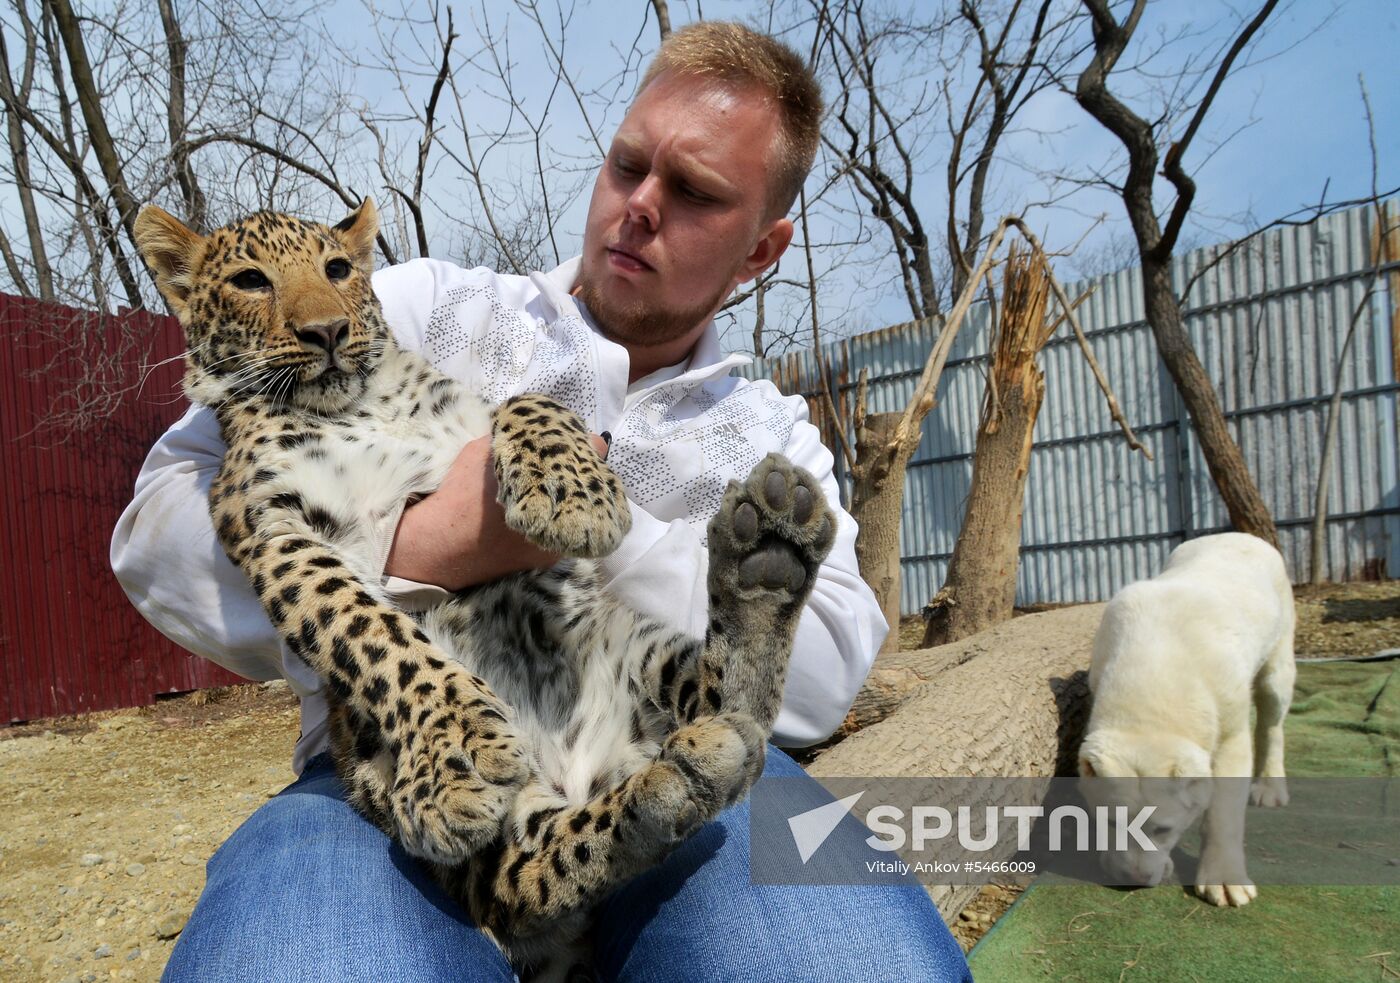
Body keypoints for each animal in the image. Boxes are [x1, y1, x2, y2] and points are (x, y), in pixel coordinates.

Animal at [1075, 534, 1293, 912]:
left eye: (1163, 829)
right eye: (1109, 822)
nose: (1131, 879)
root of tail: (1239, 536)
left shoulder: (1229, 718)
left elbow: (1224, 806)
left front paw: (1225, 880)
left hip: (1281, 640)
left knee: (1273, 710)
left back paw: (1270, 788)